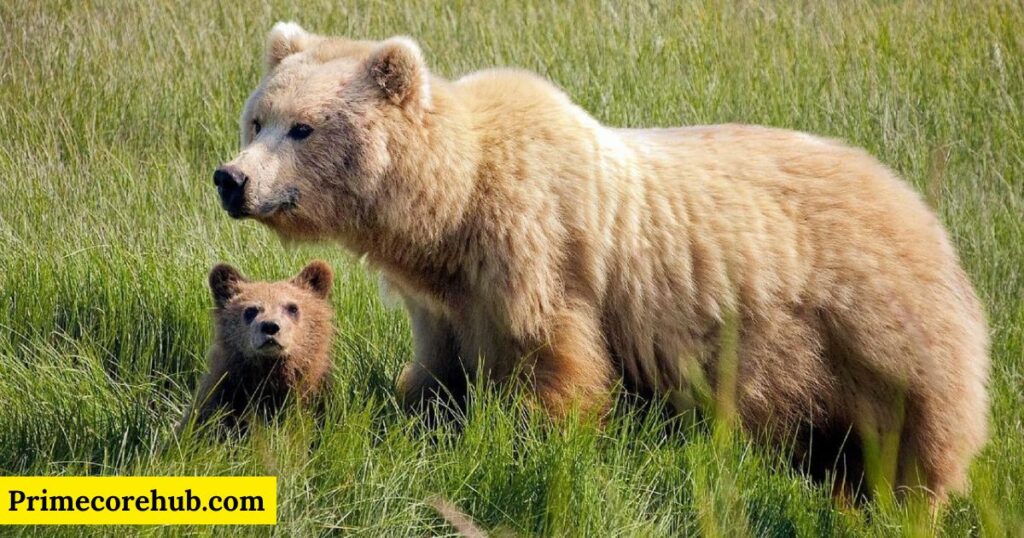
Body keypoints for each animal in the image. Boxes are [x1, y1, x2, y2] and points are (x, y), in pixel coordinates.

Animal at [211, 21, 987, 500]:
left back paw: (907, 502)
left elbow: (555, 362)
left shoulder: (537, 254)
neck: (452, 209)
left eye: (303, 128)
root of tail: (919, 205)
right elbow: (438, 373)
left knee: (918, 429)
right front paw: (420, 417)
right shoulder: (446, 298)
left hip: (870, 323)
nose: (232, 178)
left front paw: (537, 441)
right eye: (257, 118)